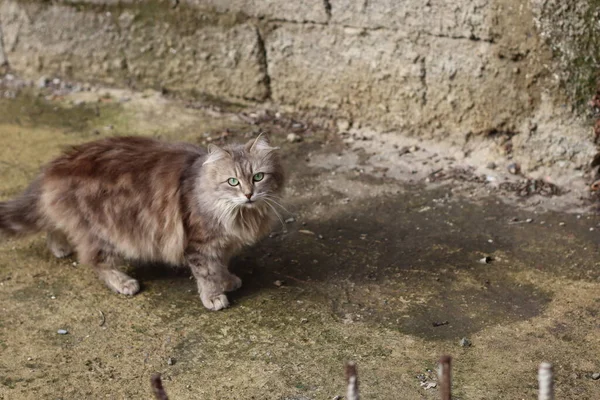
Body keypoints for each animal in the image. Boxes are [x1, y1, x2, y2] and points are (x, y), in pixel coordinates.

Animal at [0, 134, 284, 310]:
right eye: (232, 182)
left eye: (258, 177)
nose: (248, 194)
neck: (238, 215)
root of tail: (55, 166)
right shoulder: (199, 244)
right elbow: (207, 273)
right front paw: (214, 296)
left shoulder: (223, 244)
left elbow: (221, 266)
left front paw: (228, 280)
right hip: (106, 232)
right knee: (95, 261)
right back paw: (123, 282)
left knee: (52, 224)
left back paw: (60, 248)